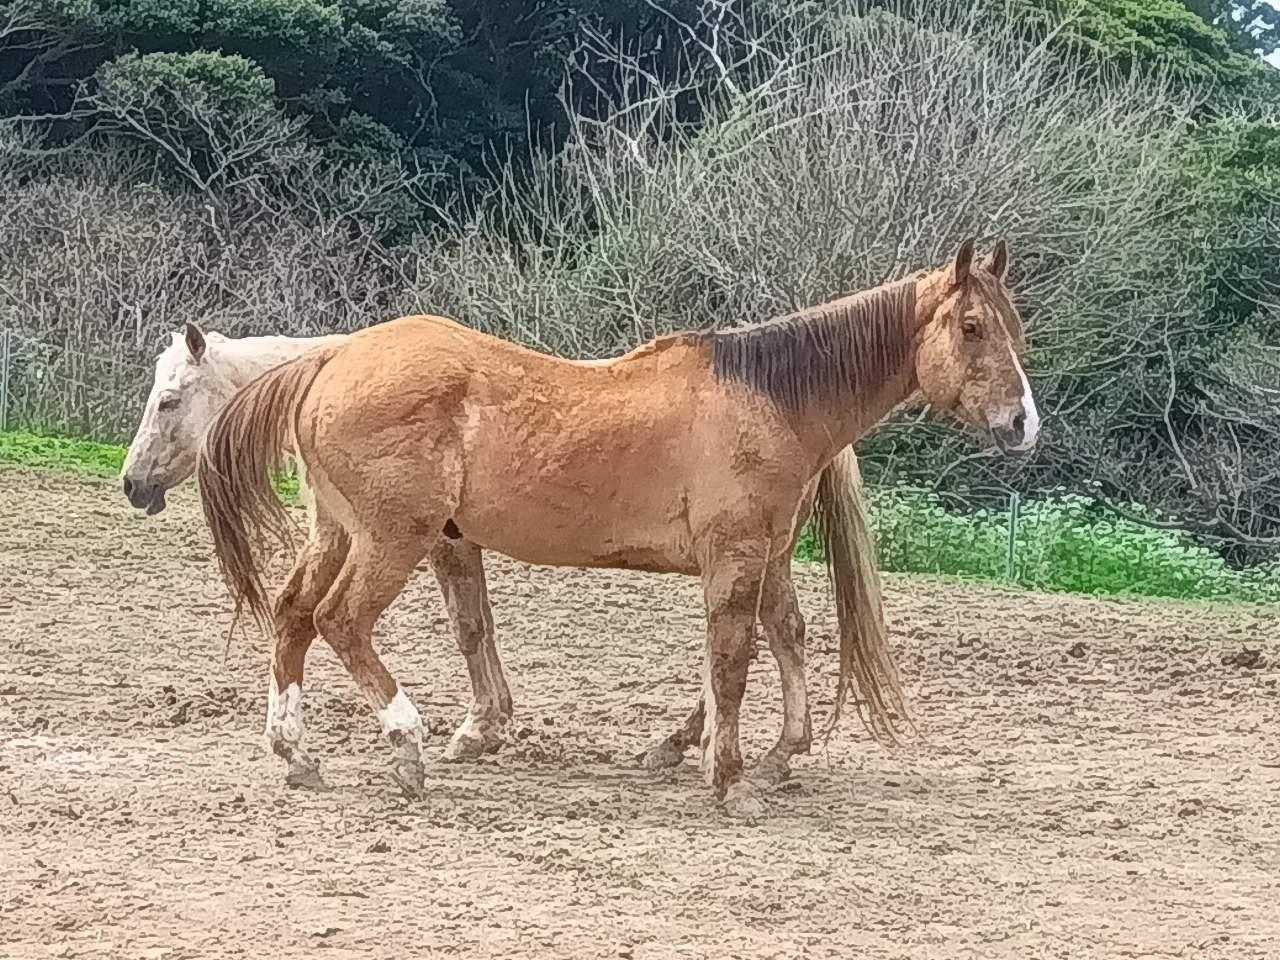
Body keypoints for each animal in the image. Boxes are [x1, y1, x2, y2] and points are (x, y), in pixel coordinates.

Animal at [118, 324, 513, 774]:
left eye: (168, 400)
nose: (131, 482)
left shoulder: (445, 542)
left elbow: (469, 627)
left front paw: (479, 728)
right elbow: (481, 624)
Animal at [197, 238, 1039, 818]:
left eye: (1014, 327)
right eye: (971, 326)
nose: (1023, 424)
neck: (767, 397)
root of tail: (333, 359)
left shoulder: (767, 554)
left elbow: (783, 637)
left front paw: (773, 756)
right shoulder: (736, 556)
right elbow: (733, 661)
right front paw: (732, 780)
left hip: (338, 533)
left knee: (294, 615)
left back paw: (295, 752)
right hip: (393, 539)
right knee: (341, 619)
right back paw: (407, 745)